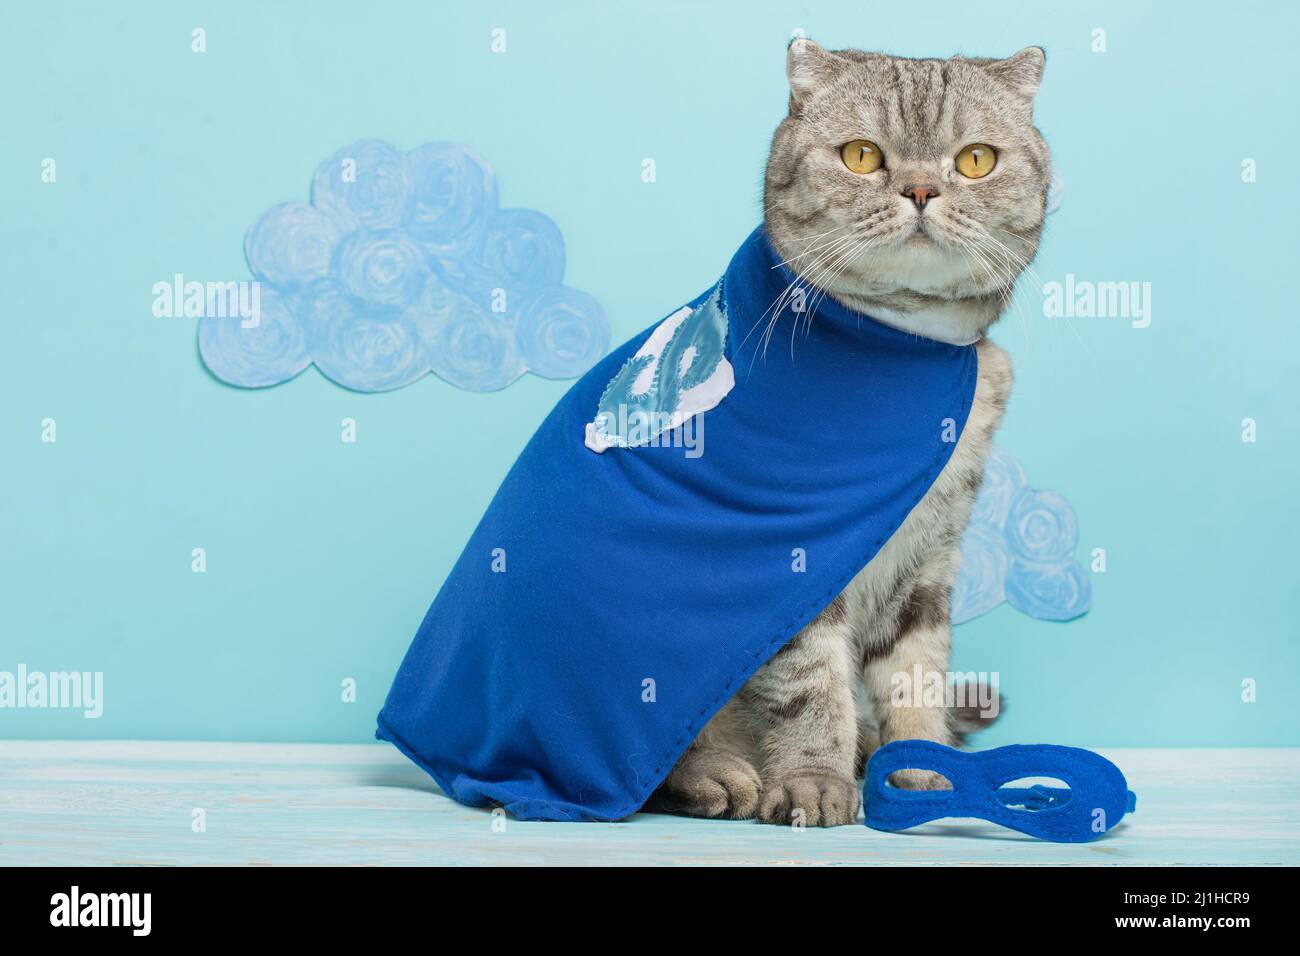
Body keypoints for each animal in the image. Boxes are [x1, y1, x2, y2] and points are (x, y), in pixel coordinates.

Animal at [655, 41, 1050, 827]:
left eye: (977, 161)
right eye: (863, 156)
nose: (923, 189)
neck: (906, 353)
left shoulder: (930, 561)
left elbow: (918, 670)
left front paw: (922, 765)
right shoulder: (793, 559)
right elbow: (812, 685)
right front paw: (813, 778)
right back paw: (717, 774)